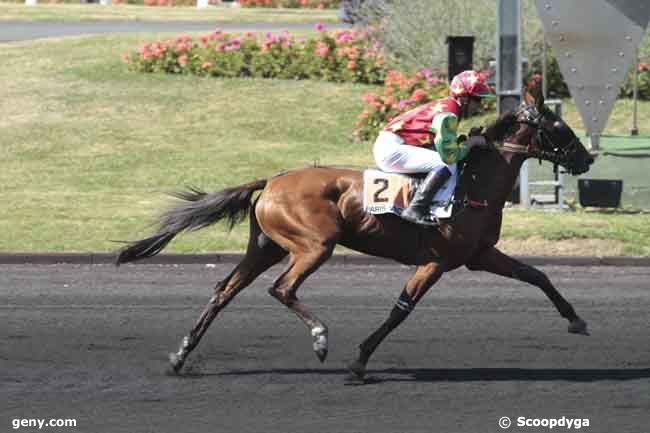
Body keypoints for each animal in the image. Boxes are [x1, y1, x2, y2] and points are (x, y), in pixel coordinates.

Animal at [115, 88, 592, 378]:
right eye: (558, 127)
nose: (587, 159)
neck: (472, 184)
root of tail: (272, 180)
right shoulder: (436, 260)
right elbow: (400, 310)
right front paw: (360, 360)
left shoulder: (478, 256)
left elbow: (537, 275)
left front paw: (576, 320)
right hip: (313, 245)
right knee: (281, 288)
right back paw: (320, 338)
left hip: (266, 246)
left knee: (224, 291)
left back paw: (180, 355)